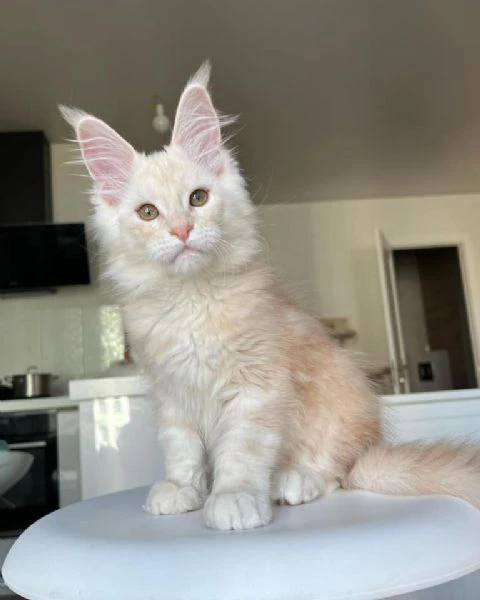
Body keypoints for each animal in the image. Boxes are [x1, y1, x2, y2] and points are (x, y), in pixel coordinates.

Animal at [60, 62, 480, 528]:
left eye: (198, 198)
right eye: (148, 213)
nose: (183, 231)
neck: (192, 302)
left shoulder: (257, 386)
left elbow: (241, 451)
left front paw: (234, 497)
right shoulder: (173, 395)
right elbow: (181, 448)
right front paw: (181, 489)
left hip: (340, 401)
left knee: (336, 471)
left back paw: (294, 480)